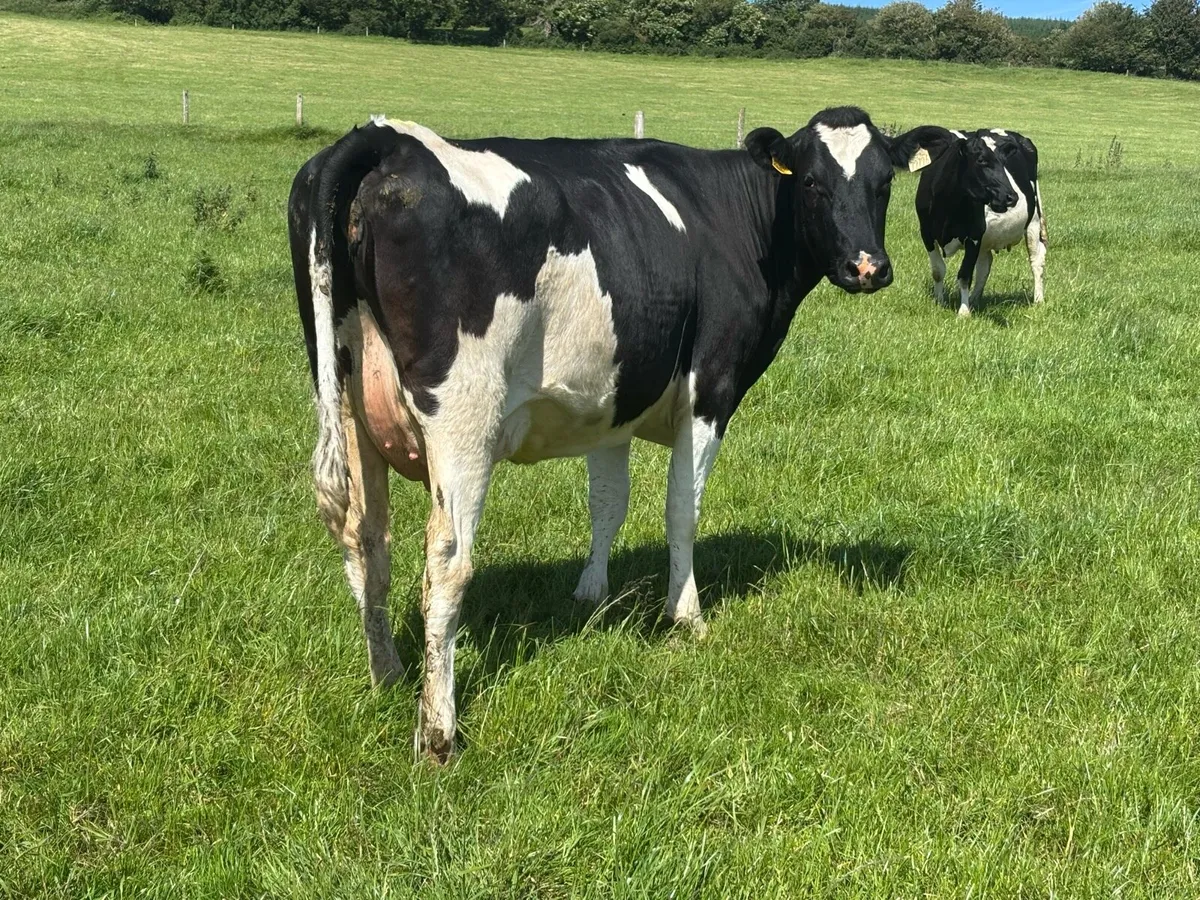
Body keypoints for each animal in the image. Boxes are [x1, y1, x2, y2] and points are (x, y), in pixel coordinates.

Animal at [288, 107, 926, 761]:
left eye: (884, 183)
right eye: (813, 182)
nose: (867, 267)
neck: (735, 218)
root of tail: (385, 137)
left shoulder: (614, 399)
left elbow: (608, 502)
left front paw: (590, 594)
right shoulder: (712, 389)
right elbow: (681, 510)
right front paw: (685, 614)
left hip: (348, 404)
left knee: (366, 544)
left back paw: (387, 676)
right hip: (463, 417)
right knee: (447, 564)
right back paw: (439, 734)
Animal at [905, 126, 1046, 317]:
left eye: (1004, 161)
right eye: (981, 160)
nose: (1012, 196)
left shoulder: (973, 236)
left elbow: (965, 274)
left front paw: (963, 312)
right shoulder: (926, 233)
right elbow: (938, 271)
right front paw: (940, 302)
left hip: (1033, 221)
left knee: (1036, 259)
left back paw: (1038, 300)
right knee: (984, 265)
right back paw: (974, 299)